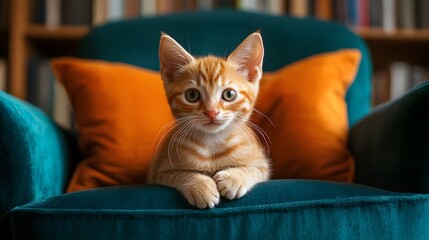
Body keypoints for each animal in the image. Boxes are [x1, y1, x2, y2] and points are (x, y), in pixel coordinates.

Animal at [147, 31, 268, 208]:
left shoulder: (262, 165)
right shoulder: (159, 172)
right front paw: (200, 187)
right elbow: (180, 174)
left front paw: (234, 179)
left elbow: (253, 169)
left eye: (229, 94)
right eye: (192, 95)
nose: (211, 112)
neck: (212, 143)